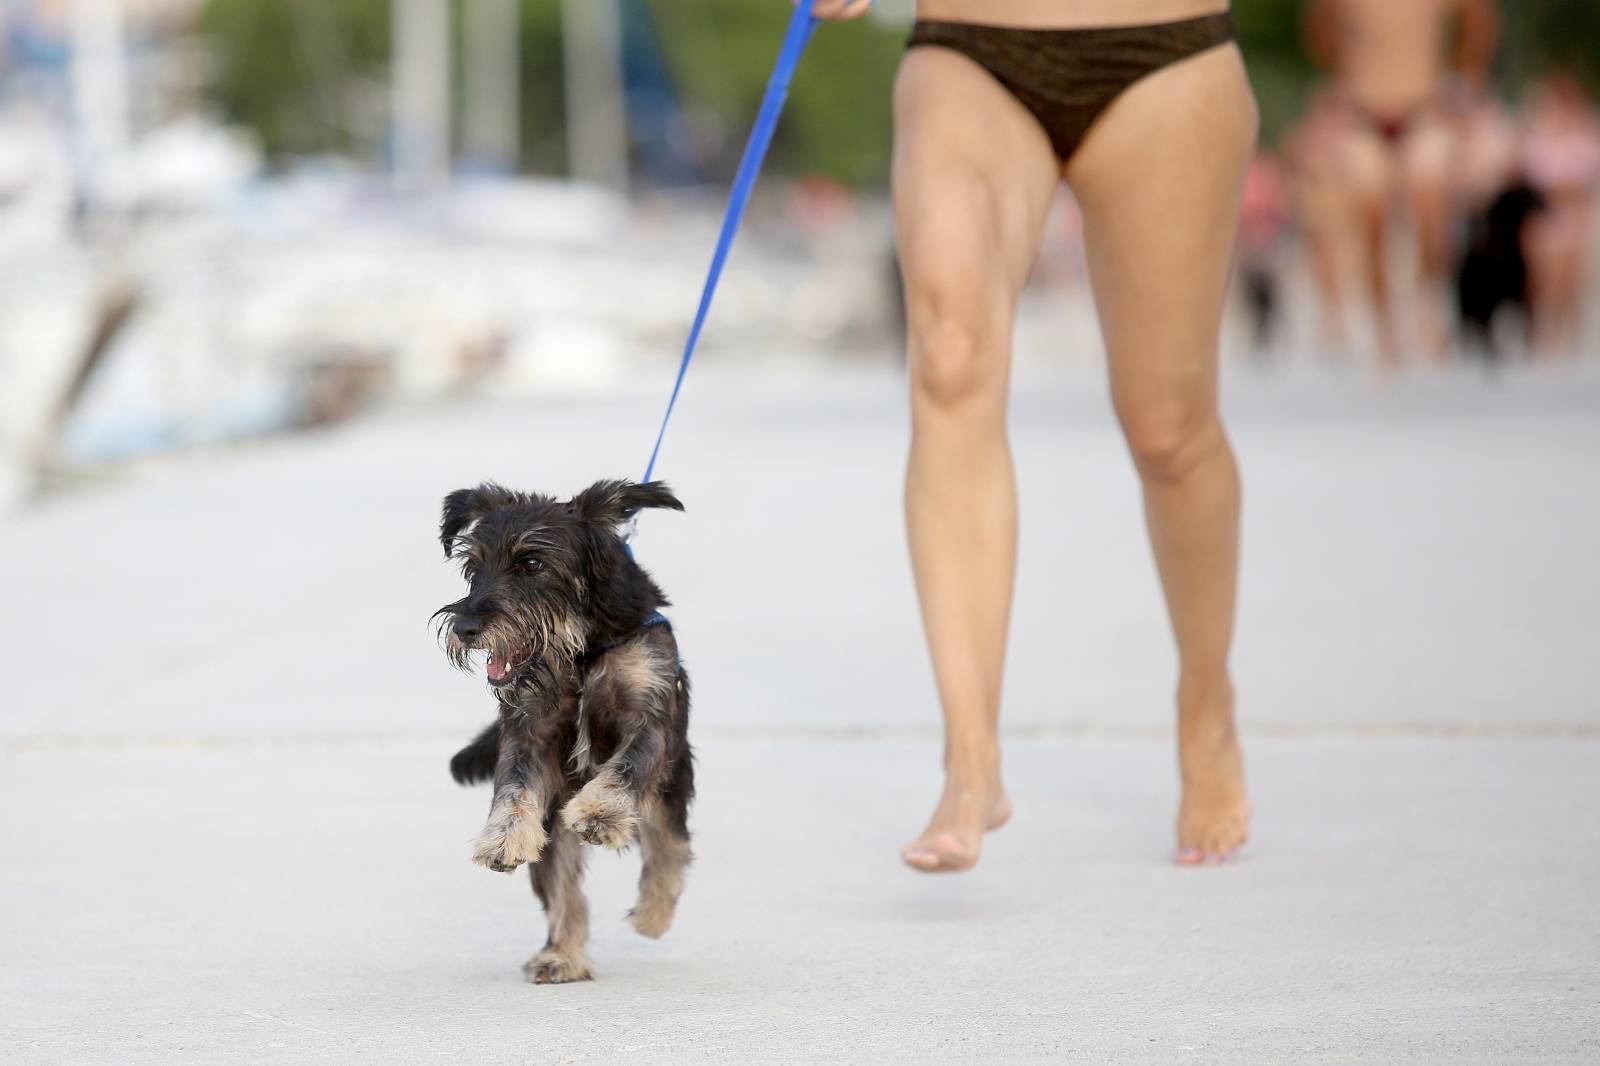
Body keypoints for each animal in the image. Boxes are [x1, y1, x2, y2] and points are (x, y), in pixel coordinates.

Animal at [435, 480, 691, 979]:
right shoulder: (528, 730)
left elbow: (626, 769)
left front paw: (599, 813)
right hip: (553, 826)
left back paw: (653, 914)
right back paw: (562, 956)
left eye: (532, 563)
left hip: (669, 784)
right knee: (562, 890)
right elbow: (514, 788)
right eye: (473, 567)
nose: (466, 627)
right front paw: (502, 838)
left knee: (668, 844)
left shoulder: (651, 718)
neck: (582, 649)